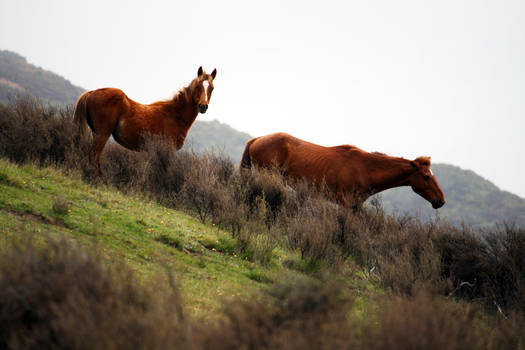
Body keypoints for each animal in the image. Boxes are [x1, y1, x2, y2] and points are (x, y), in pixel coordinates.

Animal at [72, 66, 216, 175]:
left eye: (212, 88)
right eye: (197, 86)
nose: (203, 106)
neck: (175, 115)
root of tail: (91, 92)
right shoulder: (167, 151)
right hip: (102, 133)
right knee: (94, 155)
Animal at [239, 131, 444, 208]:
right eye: (426, 176)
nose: (440, 201)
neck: (367, 169)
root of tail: (257, 139)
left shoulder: (355, 207)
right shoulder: (346, 204)